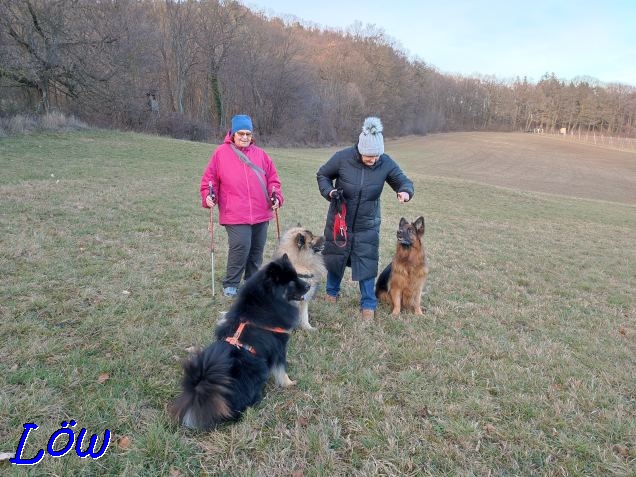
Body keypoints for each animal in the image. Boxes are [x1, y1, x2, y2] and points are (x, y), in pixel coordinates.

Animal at [168, 255, 310, 430]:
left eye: (297, 276)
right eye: (291, 282)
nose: (309, 285)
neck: (266, 302)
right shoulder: (279, 347)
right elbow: (281, 371)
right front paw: (289, 383)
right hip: (259, 369)